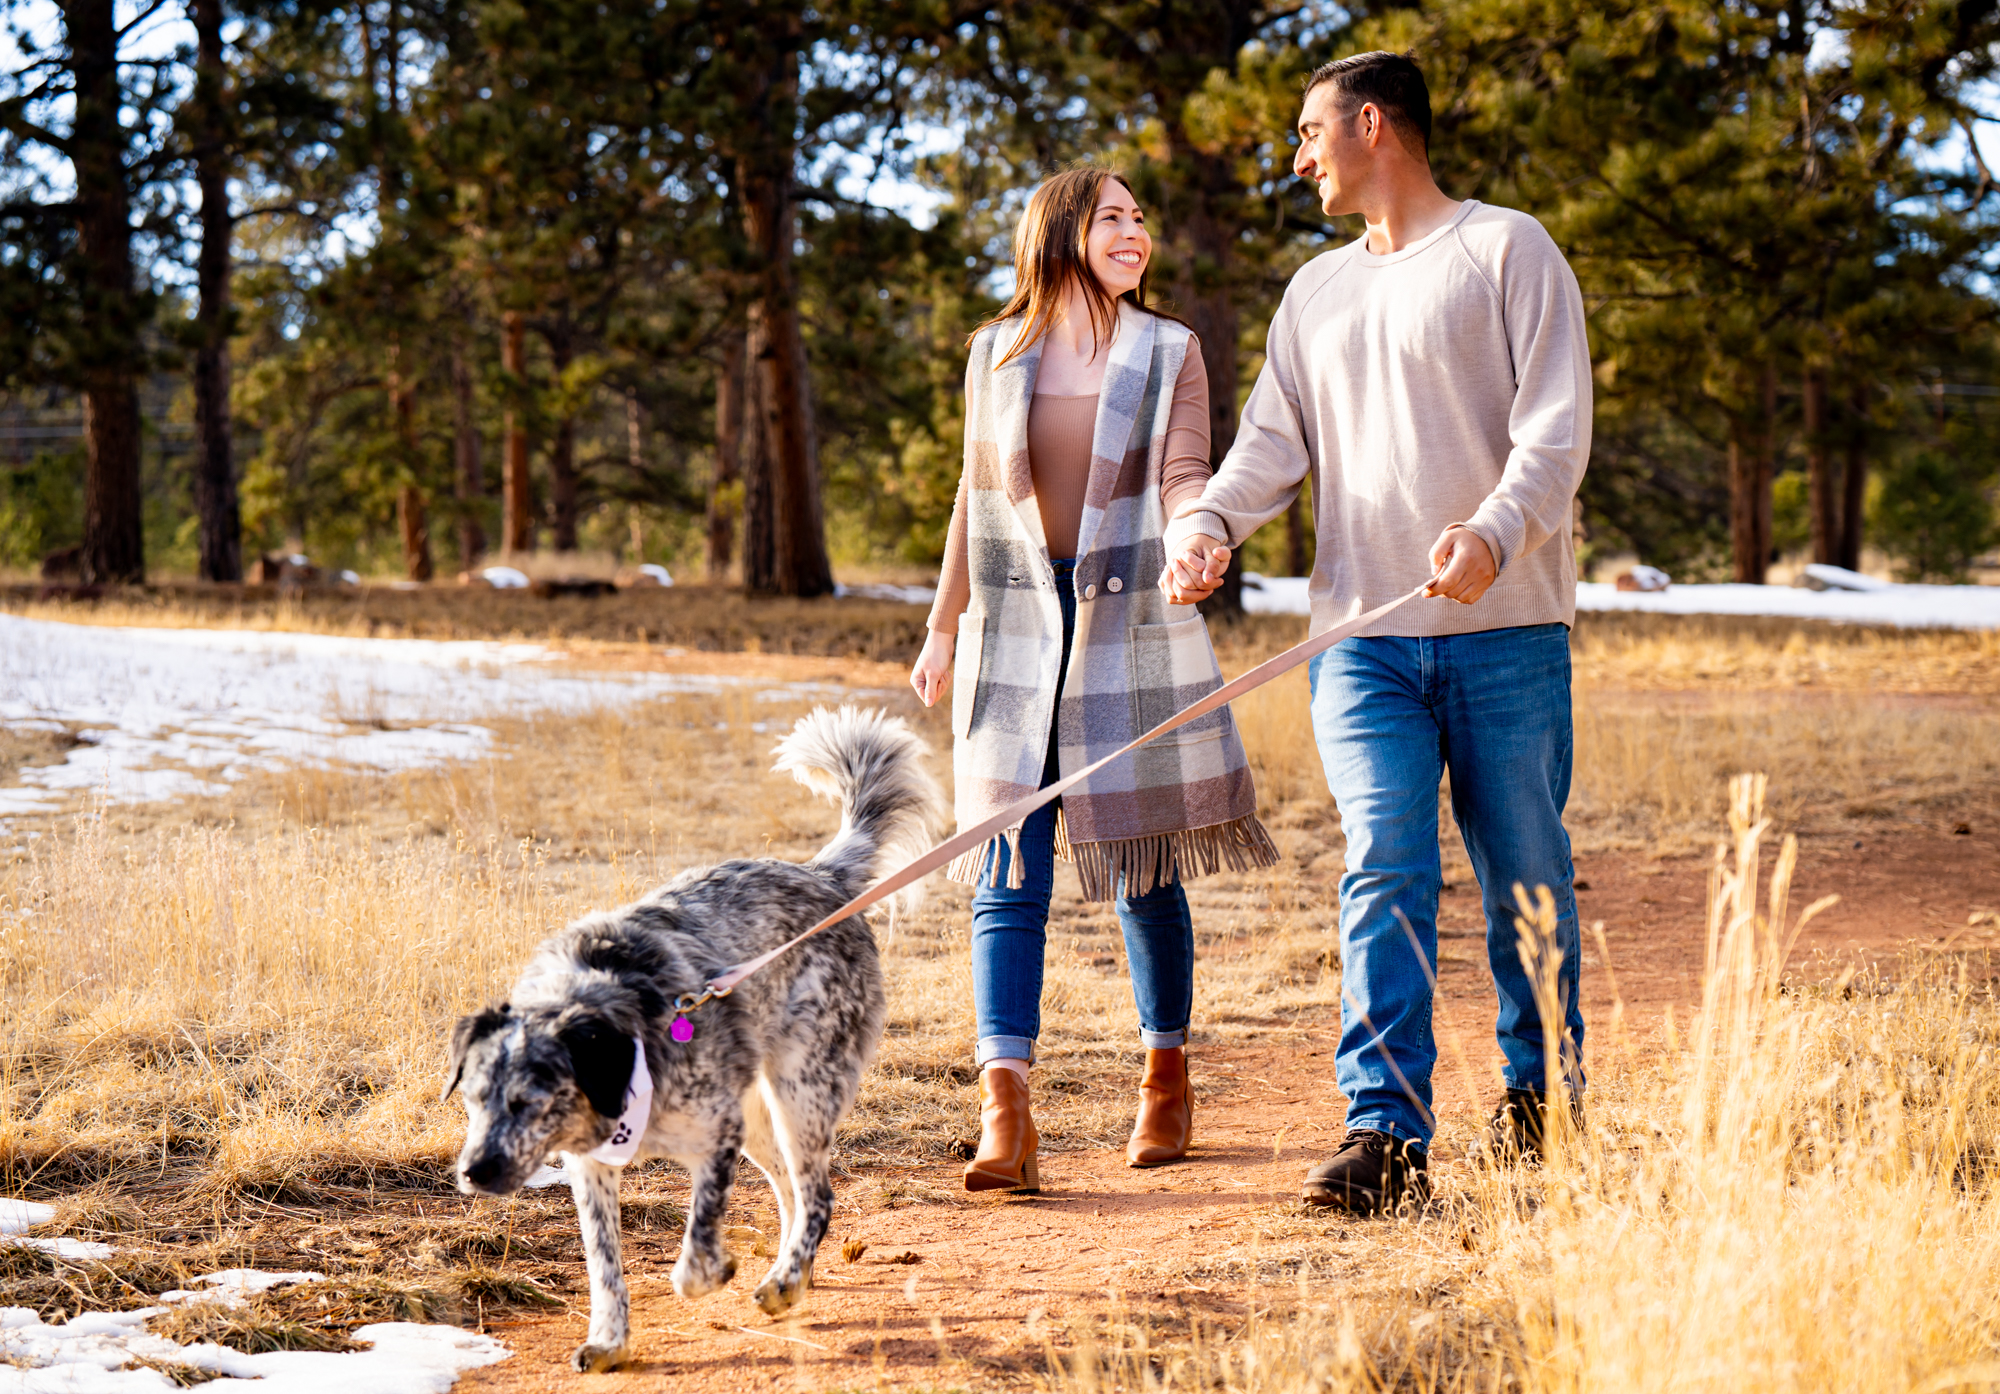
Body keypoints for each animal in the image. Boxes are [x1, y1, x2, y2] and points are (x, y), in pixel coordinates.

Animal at [450, 708, 948, 1368]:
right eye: (473, 1100)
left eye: (528, 1102)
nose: (473, 1173)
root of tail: (821, 875)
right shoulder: (592, 1169)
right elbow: (604, 1265)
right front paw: (609, 1340)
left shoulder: (715, 1135)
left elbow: (696, 1243)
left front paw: (711, 1271)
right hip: (764, 1118)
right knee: (792, 1192)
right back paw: (795, 1274)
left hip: (800, 1094)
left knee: (818, 1194)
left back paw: (785, 1282)